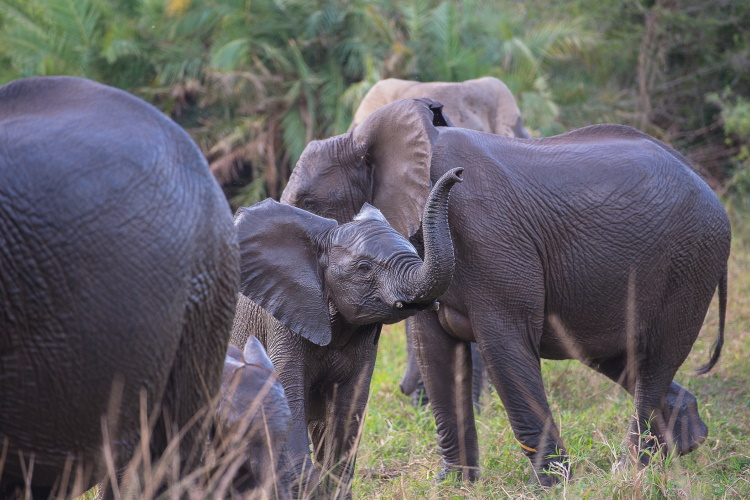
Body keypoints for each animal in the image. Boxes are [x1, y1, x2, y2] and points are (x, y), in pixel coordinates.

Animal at [229, 169, 464, 500]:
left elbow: (351, 402)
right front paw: (305, 489)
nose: (458, 174)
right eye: (364, 268)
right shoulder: (283, 316)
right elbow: (288, 392)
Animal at [280, 97, 732, 484]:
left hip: (691, 261)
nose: (456, 176)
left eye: (307, 203)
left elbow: (504, 345)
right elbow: (436, 351)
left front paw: (551, 485)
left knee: (655, 357)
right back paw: (686, 443)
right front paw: (453, 484)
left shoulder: (489, 237)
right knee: (620, 358)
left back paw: (630, 471)